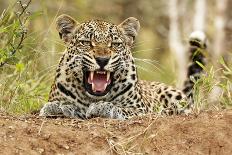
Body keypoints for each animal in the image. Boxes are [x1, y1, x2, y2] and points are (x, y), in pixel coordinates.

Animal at [39, 13, 208, 119]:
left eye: (115, 44)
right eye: (86, 42)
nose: (102, 59)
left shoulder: (141, 110)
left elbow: (121, 109)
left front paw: (101, 107)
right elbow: (59, 104)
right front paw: (57, 107)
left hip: (174, 96)